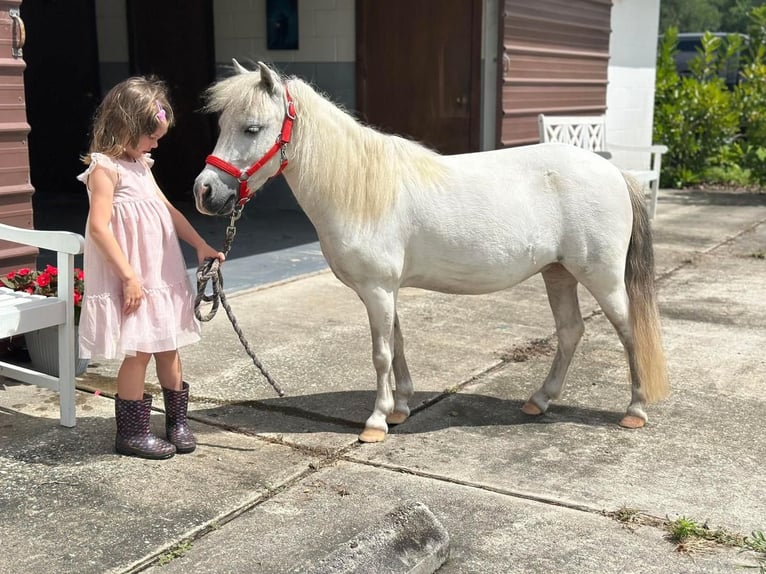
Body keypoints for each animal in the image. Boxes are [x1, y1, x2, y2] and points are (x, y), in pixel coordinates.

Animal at [195, 60, 668, 444]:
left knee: (629, 331)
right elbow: (398, 343)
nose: (205, 192)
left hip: (602, 278)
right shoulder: (387, 290)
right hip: (558, 273)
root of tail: (614, 172)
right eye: (221, 124)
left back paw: (635, 409)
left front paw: (375, 422)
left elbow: (381, 353)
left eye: (252, 128)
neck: (360, 187)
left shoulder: (377, 289)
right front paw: (400, 408)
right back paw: (540, 400)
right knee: (571, 332)